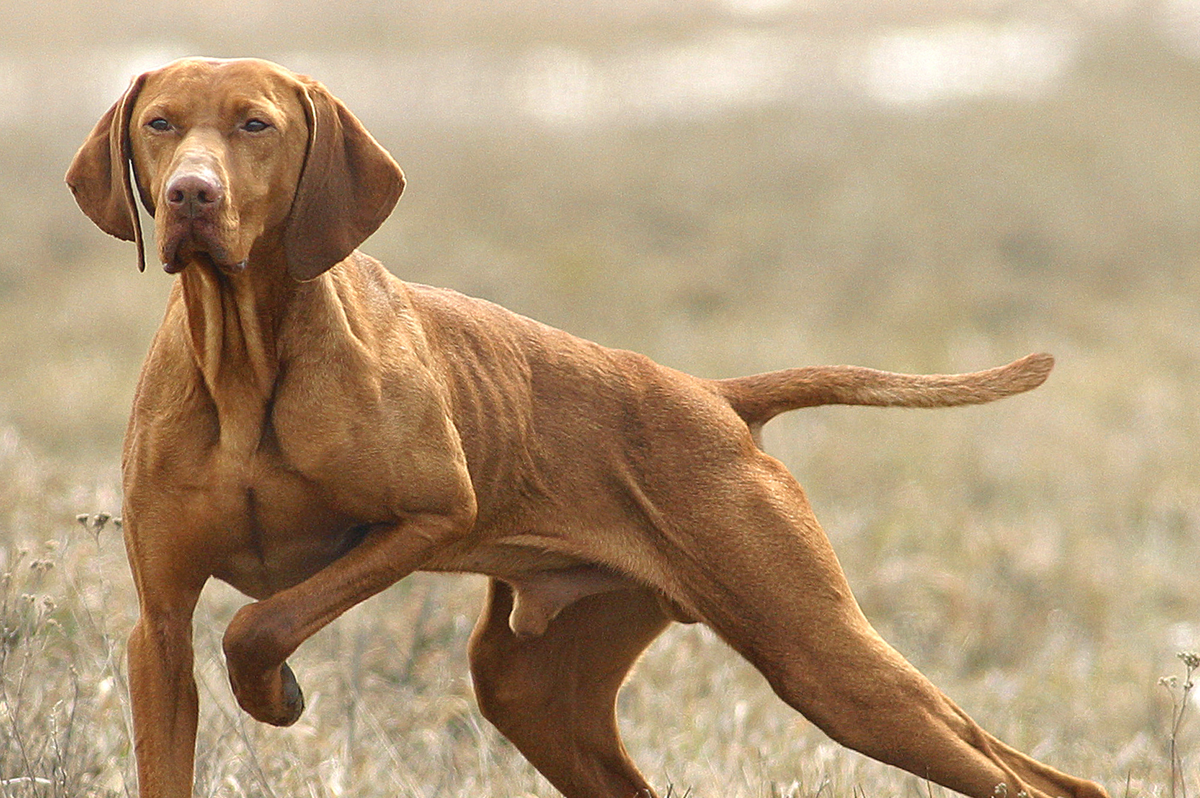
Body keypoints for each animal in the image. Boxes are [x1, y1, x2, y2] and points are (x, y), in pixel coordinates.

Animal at [65, 57, 1104, 796]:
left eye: (257, 125)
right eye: (160, 125)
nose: (193, 195)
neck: (245, 363)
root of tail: (716, 396)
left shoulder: (434, 515)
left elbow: (258, 623)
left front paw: (273, 694)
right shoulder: (159, 629)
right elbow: (209, 661)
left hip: (822, 659)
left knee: (1032, 781)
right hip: (532, 688)